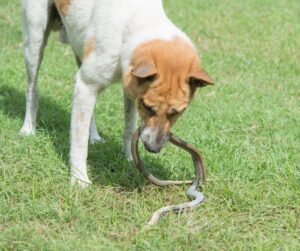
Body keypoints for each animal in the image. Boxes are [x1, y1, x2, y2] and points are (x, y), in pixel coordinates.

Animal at [20, 0, 213, 187]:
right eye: (147, 107)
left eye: (177, 112)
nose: (153, 148)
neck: (135, 23)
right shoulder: (86, 85)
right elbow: (79, 141)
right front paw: (79, 179)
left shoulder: (130, 89)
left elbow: (129, 127)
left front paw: (129, 158)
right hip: (35, 39)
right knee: (32, 90)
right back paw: (28, 128)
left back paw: (94, 136)